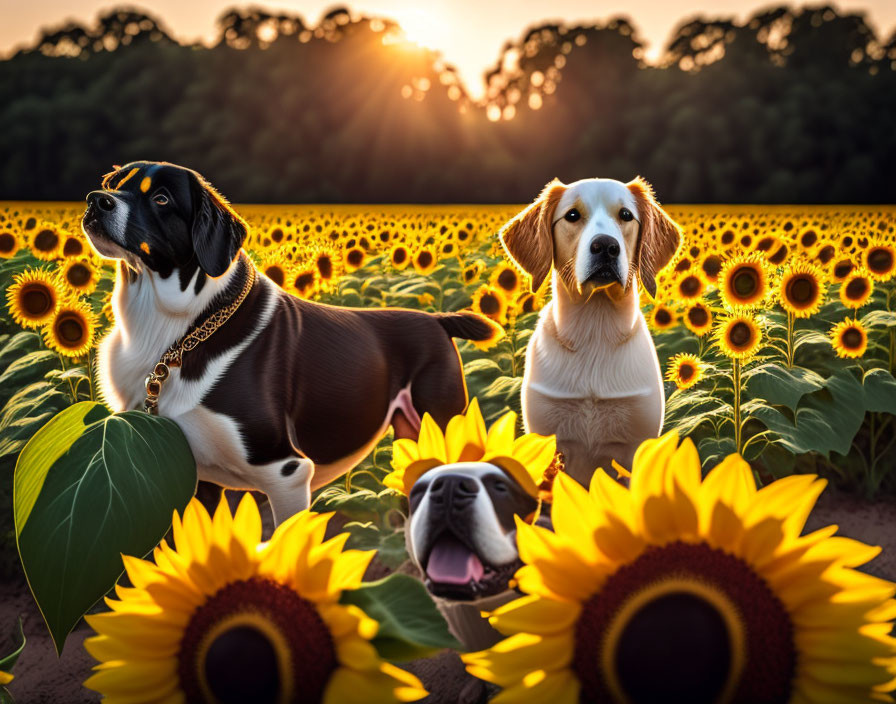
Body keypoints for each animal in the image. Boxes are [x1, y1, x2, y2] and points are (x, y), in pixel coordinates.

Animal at [82, 160, 504, 524]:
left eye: (161, 199)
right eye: (113, 183)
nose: (96, 200)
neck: (174, 328)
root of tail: (436, 319)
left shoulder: (286, 471)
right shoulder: (195, 477)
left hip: (444, 420)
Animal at [500, 177, 684, 484]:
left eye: (626, 215)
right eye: (572, 215)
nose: (606, 246)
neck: (594, 329)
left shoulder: (635, 445)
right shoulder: (547, 442)